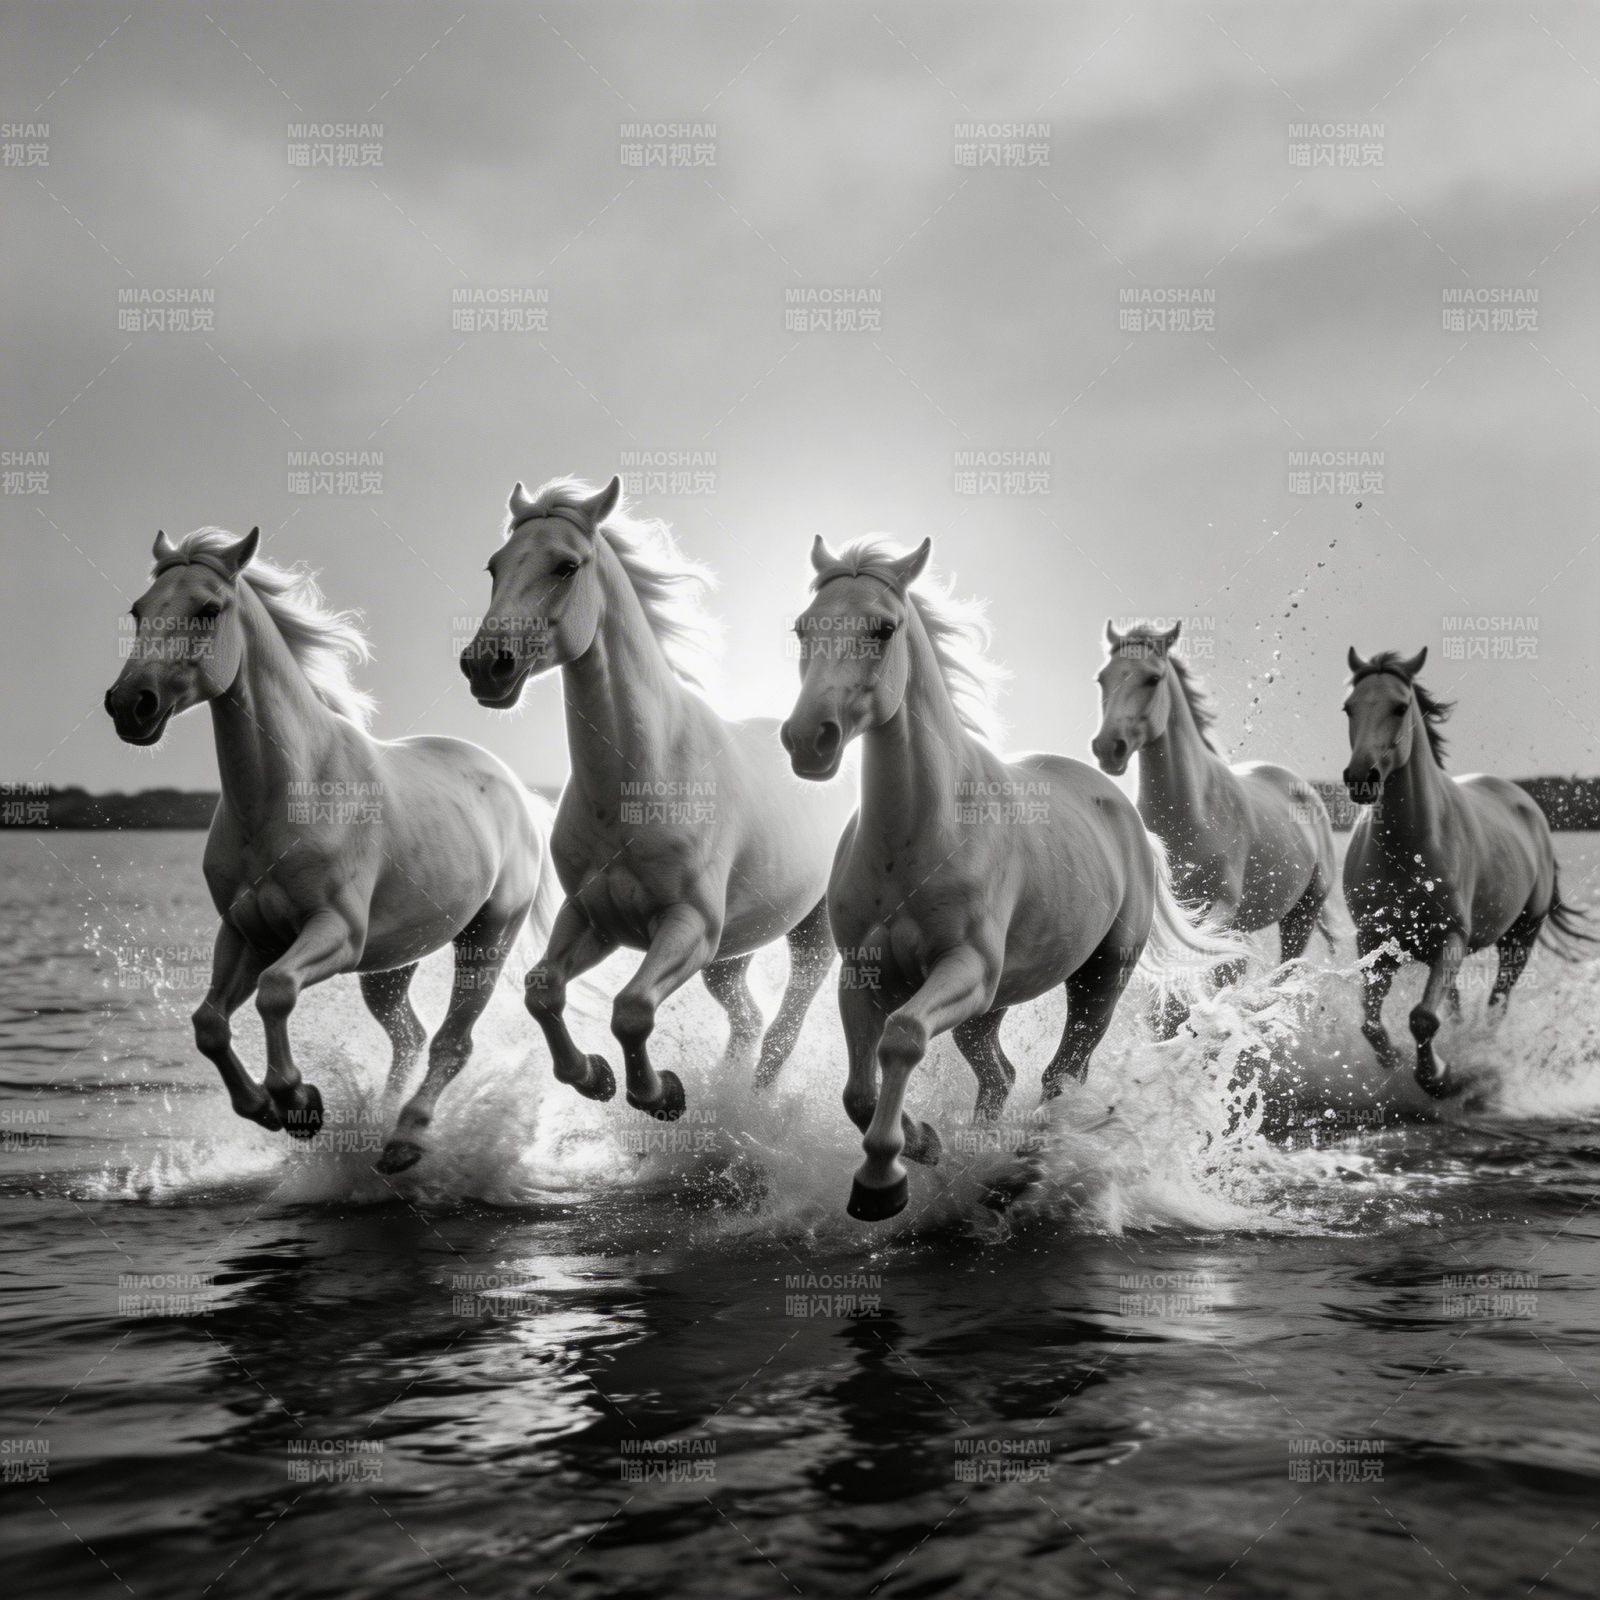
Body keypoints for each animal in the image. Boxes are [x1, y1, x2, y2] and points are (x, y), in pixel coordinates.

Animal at [104, 525, 557, 1172]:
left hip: (487, 937)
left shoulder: (336, 932)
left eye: (208, 609)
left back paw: (403, 1140)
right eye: (139, 612)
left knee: (452, 1042)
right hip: (393, 963)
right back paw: (378, 1124)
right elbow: (209, 1023)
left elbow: (276, 992)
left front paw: (298, 1099)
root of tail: (518, 790)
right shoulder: (245, 933)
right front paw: (269, 1109)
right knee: (410, 1036)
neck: (286, 797)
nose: (129, 704)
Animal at [460, 476, 856, 1123]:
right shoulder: (593, 918)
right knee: (748, 1020)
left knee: (781, 1032)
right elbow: (543, 992)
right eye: (495, 566)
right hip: (730, 956)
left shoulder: (687, 926)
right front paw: (592, 1076)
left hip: (811, 938)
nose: (486, 666)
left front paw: (659, 1093)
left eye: (566, 565)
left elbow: (631, 1010)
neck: (641, 782)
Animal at [780, 536, 1243, 1221]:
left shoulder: (966, 967)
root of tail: (1121, 807)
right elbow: (859, 1092)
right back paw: (985, 1168)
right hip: (987, 1011)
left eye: (883, 628)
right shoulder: (860, 972)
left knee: (1061, 1076)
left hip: (1100, 979)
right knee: (999, 1075)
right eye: (803, 627)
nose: (809, 739)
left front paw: (883, 1178)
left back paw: (1027, 1170)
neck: (918, 837)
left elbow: (902, 1037)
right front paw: (922, 1144)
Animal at [1091, 622, 1336, 1004]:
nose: (1107, 748)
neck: (1190, 812)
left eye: (1153, 678)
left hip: (1302, 914)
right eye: (1103, 678)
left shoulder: (1220, 907)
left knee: (1283, 969)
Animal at [1341, 646, 1589, 1098]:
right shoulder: (1373, 940)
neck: (1409, 851)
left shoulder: (1452, 938)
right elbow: (1371, 1023)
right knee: (1456, 1007)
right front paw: (1394, 1061)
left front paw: (1439, 1078)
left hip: (1520, 937)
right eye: (1349, 707)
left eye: (1400, 707)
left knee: (1496, 1007)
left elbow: (1423, 1018)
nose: (1360, 778)